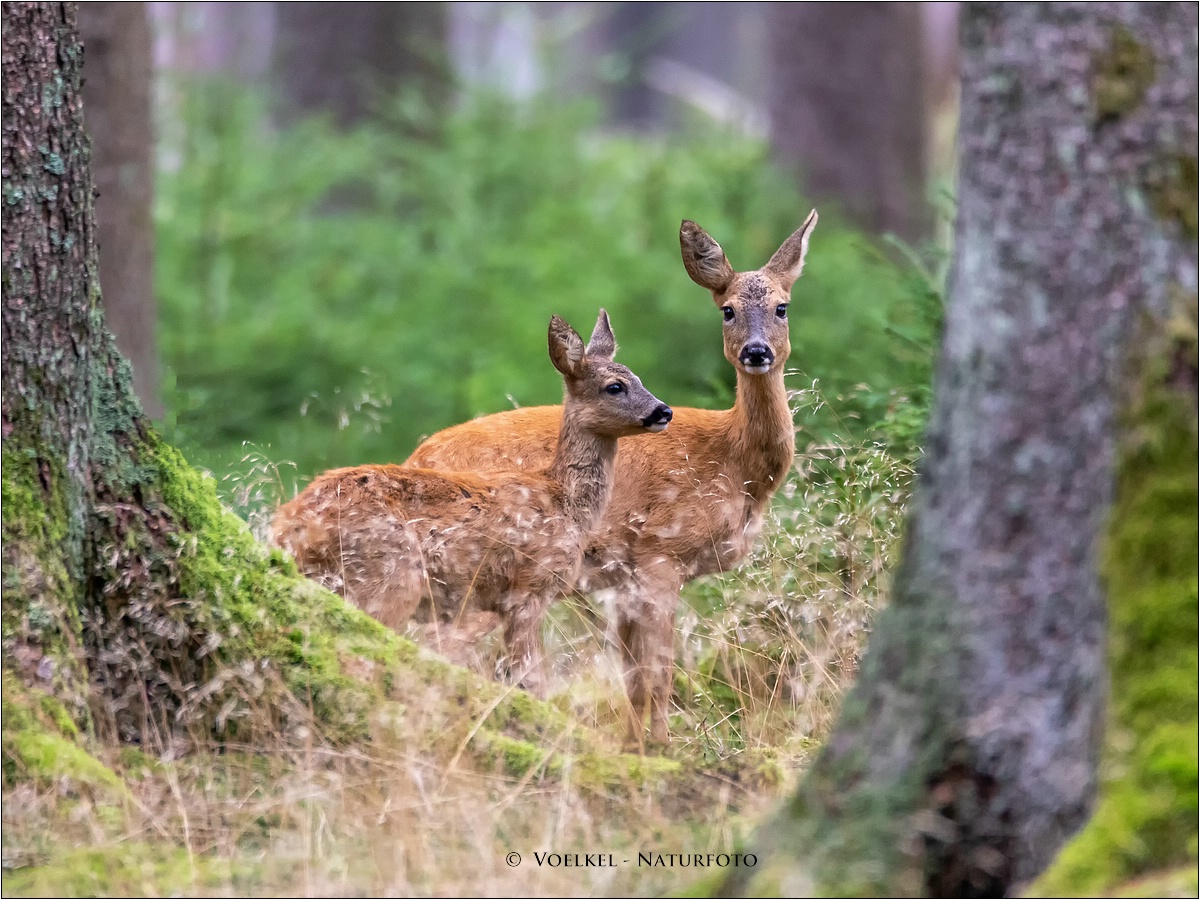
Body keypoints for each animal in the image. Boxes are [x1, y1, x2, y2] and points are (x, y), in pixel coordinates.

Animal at [268, 314, 676, 696]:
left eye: (638, 377)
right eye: (615, 386)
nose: (663, 411)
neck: (565, 502)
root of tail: (288, 526)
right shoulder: (528, 588)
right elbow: (531, 678)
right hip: (389, 576)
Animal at [410, 210, 816, 739]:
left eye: (782, 307)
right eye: (726, 310)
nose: (756, 351)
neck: (733, 464)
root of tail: (415, 458)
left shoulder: (621, 581)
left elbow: (634, 682)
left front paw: (636, 746)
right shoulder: (660, 554)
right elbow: (660, 675)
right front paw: (661, 749)